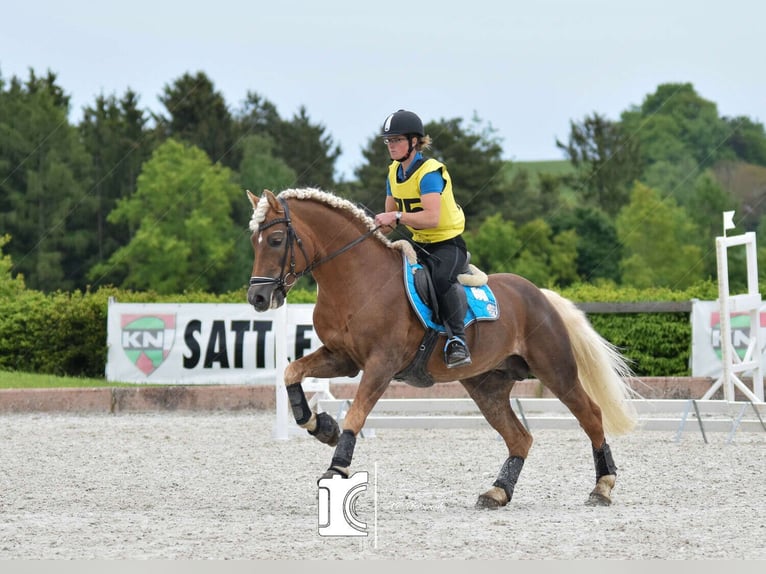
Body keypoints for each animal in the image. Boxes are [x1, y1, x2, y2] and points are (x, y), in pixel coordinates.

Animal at [248, 187, 640, 510]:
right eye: (255, 240)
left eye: (277, 239)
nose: (258, 298)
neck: (356, 280)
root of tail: (540, 295)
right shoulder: (342, 358)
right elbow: (291, 373)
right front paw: (322, 427)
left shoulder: (380, 365)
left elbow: (356, 414)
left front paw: (337, 469)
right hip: (487, 386)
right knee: (520, 438)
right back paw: (497, 492)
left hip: (555, 371)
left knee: (590, 415)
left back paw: (603, 486)